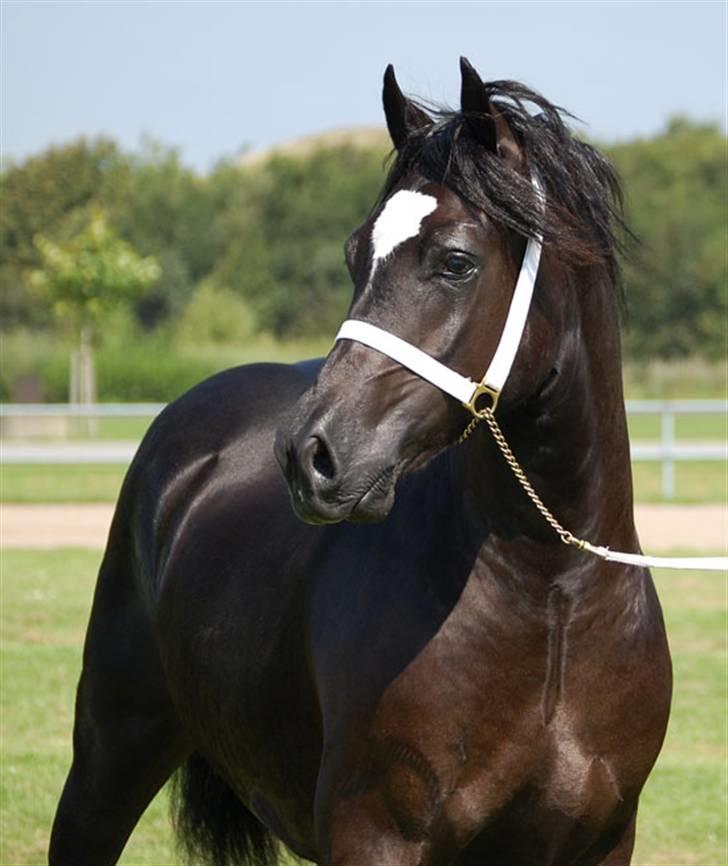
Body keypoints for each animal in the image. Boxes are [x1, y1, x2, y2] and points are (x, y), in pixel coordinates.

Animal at [48, 60, 672, 864]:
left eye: (456, 261)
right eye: (354, 253)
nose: (309, 455)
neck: (552, 595)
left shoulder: (599, 842)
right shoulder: (374, 835)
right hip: (110, 753)